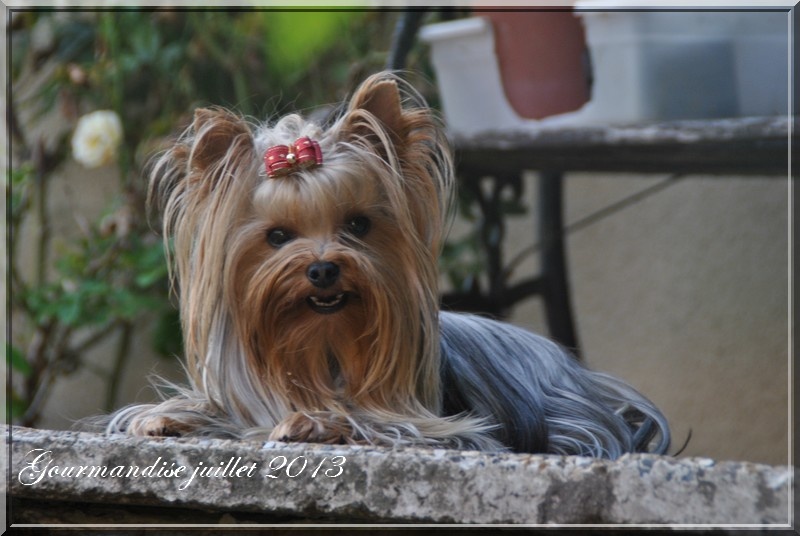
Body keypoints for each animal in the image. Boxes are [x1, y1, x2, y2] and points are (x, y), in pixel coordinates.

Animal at [106, 70, 668, 456]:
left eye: (357, 225)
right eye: (277, 237)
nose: (323, 269)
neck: (324, 350)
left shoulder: (448, 428)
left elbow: (381, 421)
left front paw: (314, 421)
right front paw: (165, 417)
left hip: (573, 424)